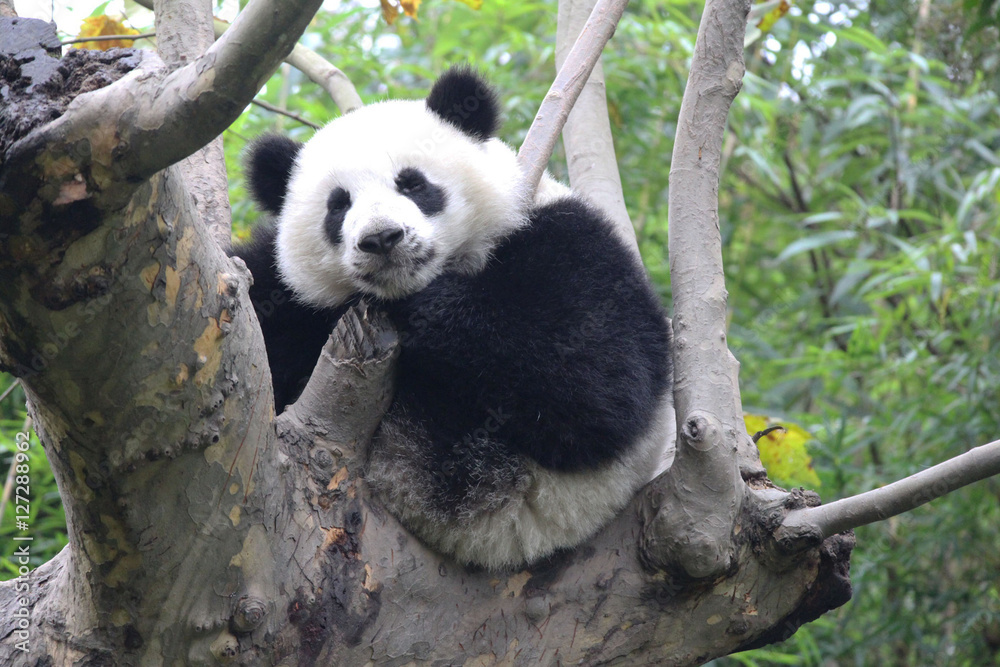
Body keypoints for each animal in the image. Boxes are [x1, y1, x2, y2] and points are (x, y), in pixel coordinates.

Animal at [232, 67, 675, 570]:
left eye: (413, 183)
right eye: (338, 205)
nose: (382, 239)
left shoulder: (569, 239)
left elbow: (597, 388)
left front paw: (429, 309)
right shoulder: (291, 296)